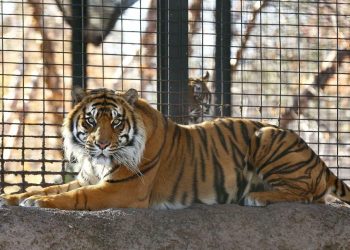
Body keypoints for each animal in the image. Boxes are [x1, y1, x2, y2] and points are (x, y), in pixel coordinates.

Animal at [0, 87, 350, 210]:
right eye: (90, 121)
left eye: (116, 123)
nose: (100, 144)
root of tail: (320, 162)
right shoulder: (89, 176)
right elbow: (52, 186)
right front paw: (16, 196)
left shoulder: (121, 189)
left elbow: (76, 197)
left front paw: (39, 203)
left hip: (266, 136)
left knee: (308, 193)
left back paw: (257, 196)